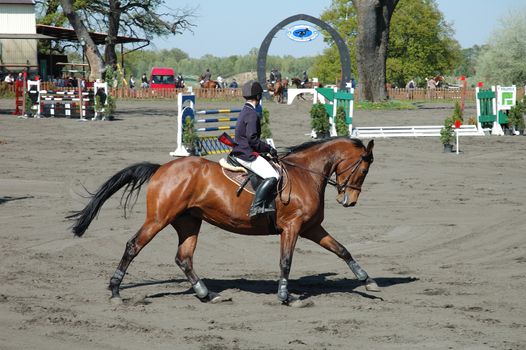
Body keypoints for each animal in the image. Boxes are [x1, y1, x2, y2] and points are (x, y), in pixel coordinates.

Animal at [67, 138, 380, 304]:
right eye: (364, 170)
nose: (349, 201)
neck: (306, 174)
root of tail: (161, 169)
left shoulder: (311, 228)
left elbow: (342, 250)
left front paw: (368, 281)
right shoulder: (292, 228)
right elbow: (285, 261)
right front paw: (284, 295)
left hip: (189, 222)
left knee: (184, 258)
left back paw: (207, 294)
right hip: (158, 218)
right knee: (133, 246)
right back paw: (115, 291)